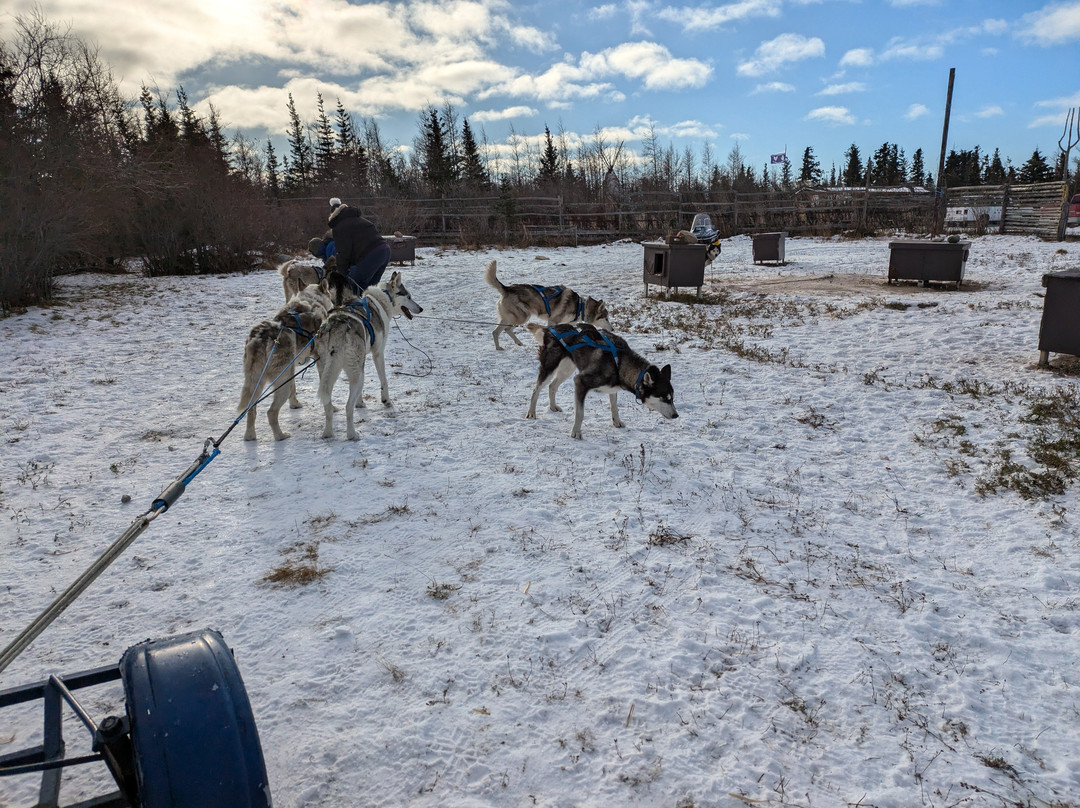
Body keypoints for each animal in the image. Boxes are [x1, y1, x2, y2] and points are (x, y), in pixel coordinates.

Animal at [238, 278, 334, 442]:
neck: (313, 301)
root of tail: (260, 337)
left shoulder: (292, 368)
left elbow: (294, 391)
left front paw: (294, 404)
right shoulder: (321, 359)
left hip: (259, 383)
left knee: (251, 411)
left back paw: (250, 436)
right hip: (282, 383)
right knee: (271, 412)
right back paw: (280, 436)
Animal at [315, 270, 423, 442]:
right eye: (409, 296)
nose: (421, 308)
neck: (383, 300)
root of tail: (336, 326)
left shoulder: (362, 361)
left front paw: (360, 403)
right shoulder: (378, 354)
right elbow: (384, 380)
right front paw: (386, 401)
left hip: (329, 373)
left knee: (328, 406)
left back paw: (328, 433)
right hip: (355, 373)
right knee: (348, 407)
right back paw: (352, 435)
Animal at [520, 321, 673, 438]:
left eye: (672, 398)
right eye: (664, 398)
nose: (676, 415)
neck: (619, 364)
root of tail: (551, 328)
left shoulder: (612, 388)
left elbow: (614, 407)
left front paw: (616, 422)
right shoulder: (580, 382)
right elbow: (580, 413)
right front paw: (576, 432)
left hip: (567, 369)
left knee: (552, 386)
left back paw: (552, 407)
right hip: (550, 368)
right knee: (536, 389)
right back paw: (531, 412)